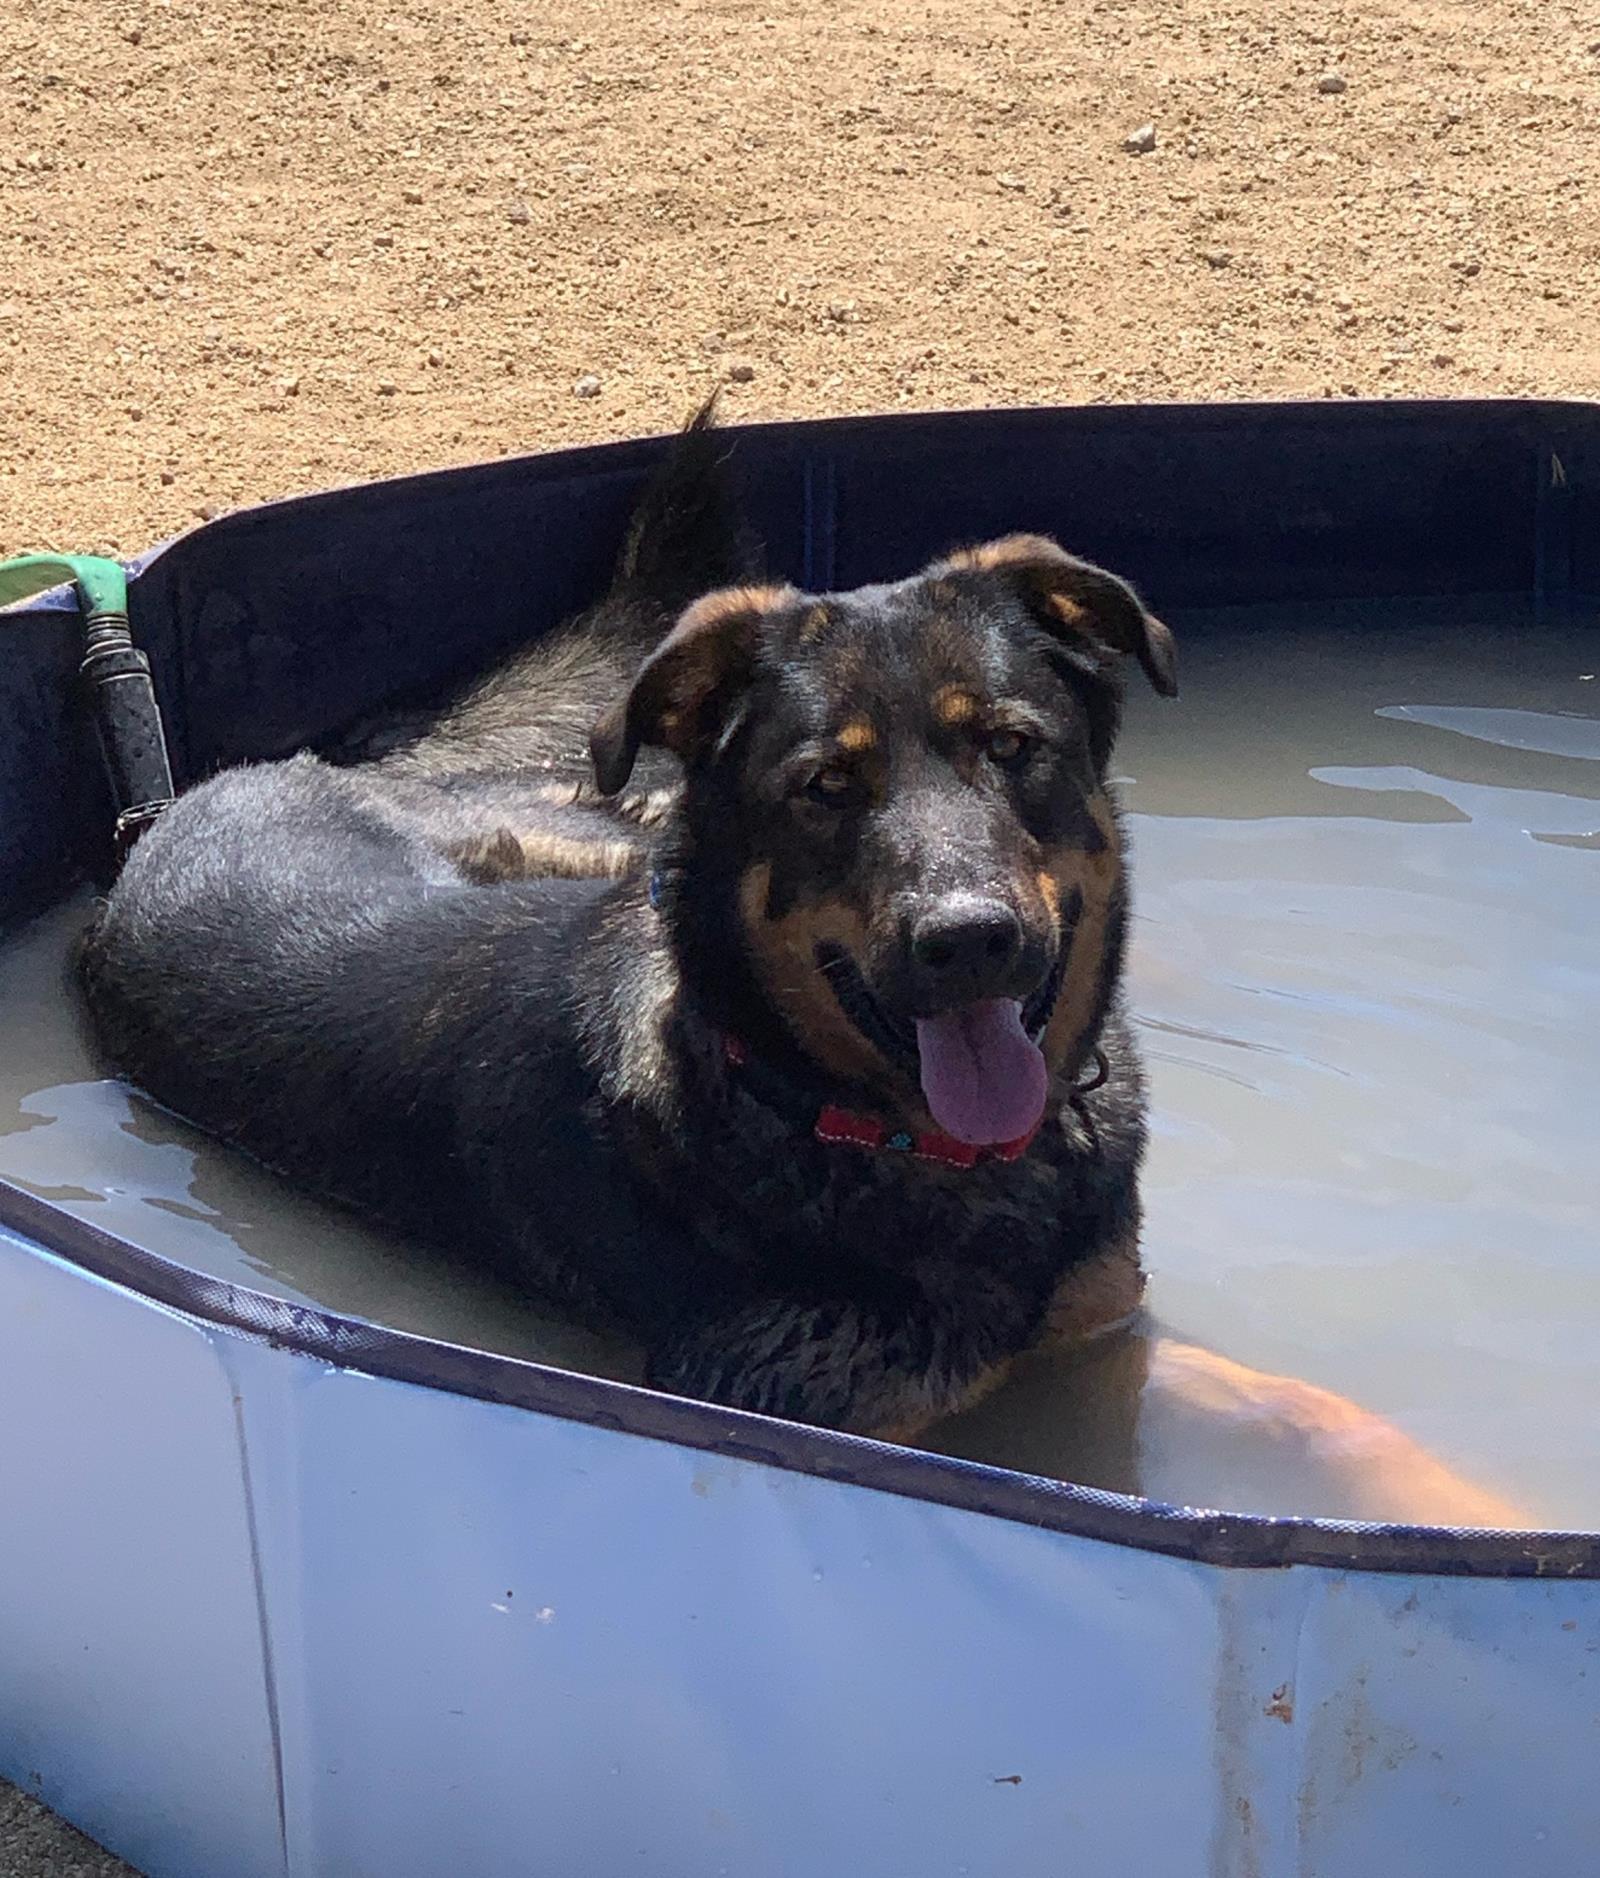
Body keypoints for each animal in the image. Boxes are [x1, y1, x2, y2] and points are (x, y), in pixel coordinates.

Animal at [75, 411, 1524, 1524]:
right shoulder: (824, 1416)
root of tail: (195, 801)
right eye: (826, 787)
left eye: (1011, 747)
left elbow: (1312, 1407)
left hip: (602, 840)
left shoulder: (1102, 1332)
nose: (970, 939)